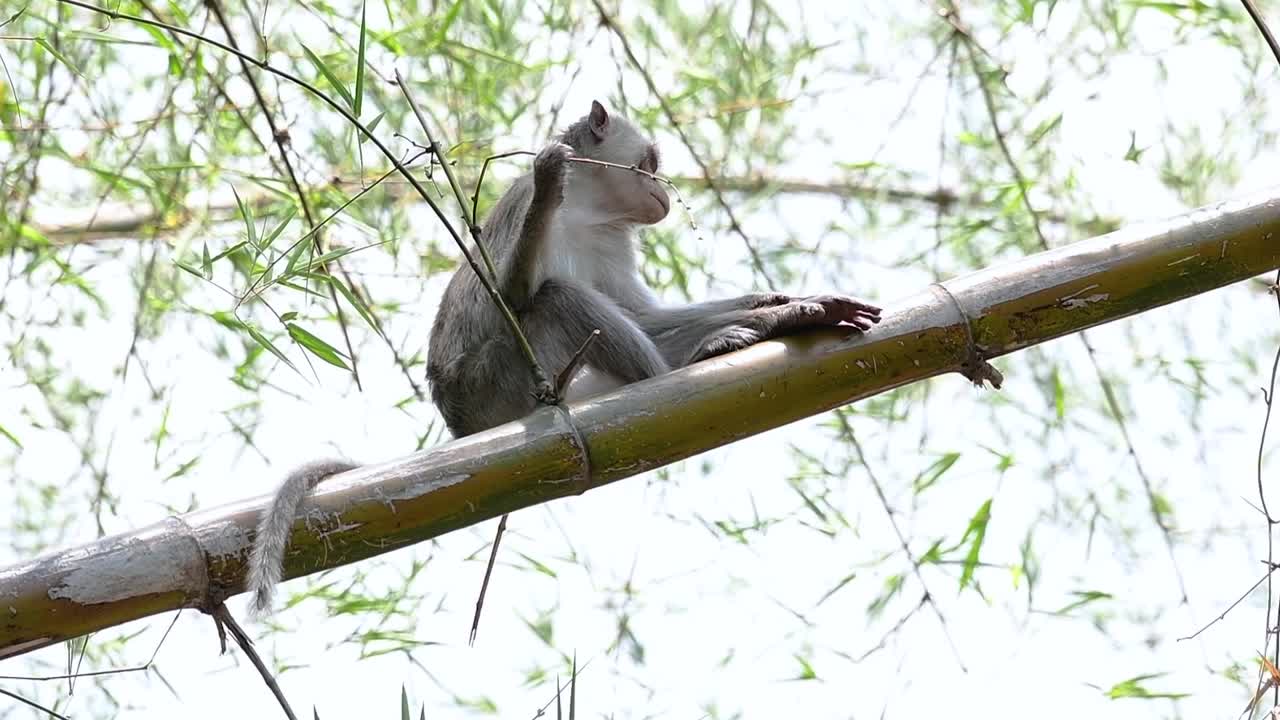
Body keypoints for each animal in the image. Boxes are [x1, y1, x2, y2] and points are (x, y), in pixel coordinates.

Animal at [244, 100, 881, 616]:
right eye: (650, 164)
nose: (665, 192)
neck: (589, 210)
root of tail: (462, 427)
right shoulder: (530, 209)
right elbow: (513, 294)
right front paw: (551, 178)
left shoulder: (612, 238)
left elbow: (643, 315)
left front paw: (779, 305)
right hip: (499, 382)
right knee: (554, 298)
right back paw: (680, 368)